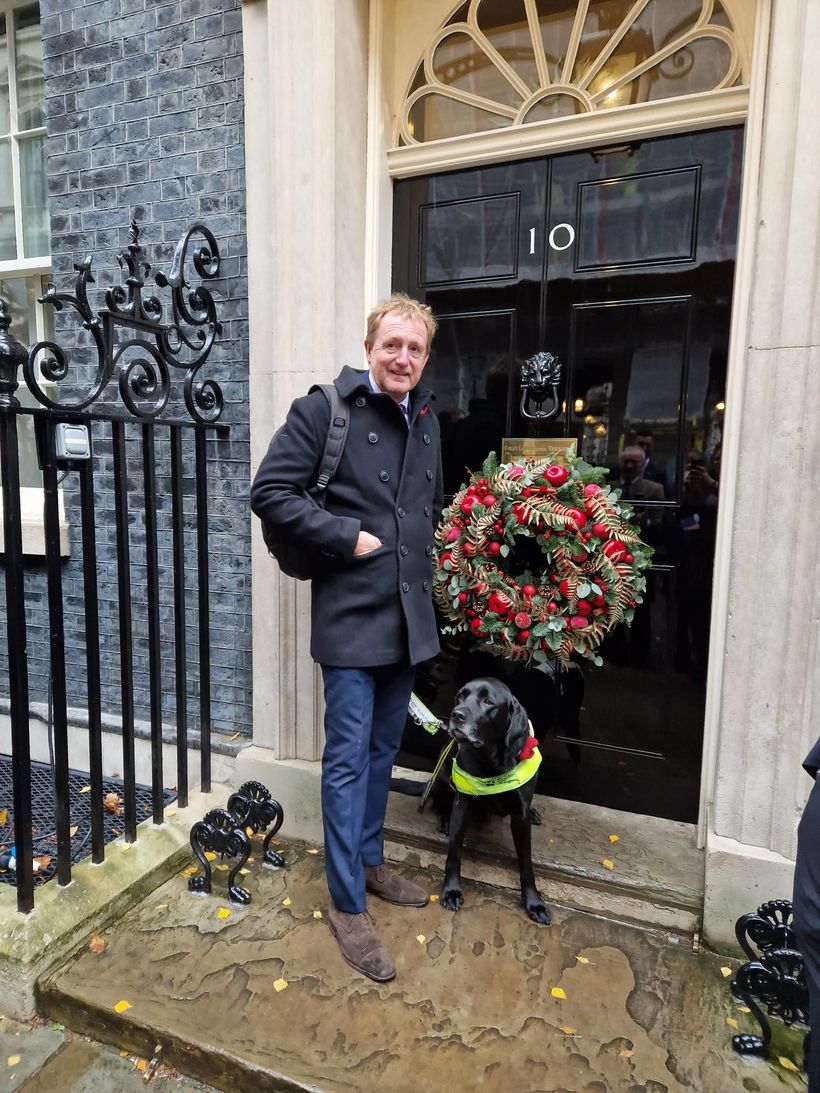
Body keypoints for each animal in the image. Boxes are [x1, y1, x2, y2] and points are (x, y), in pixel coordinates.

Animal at [432, 677, 555, 926]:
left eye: (488, 701)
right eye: (460, 696)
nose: (456, 715)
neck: (491, 762)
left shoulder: (519, 816)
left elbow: (526, 863)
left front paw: (534, 902)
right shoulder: (462, 806)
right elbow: (454, 852)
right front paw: (451, 891)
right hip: (443, 772)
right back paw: (443, 818)